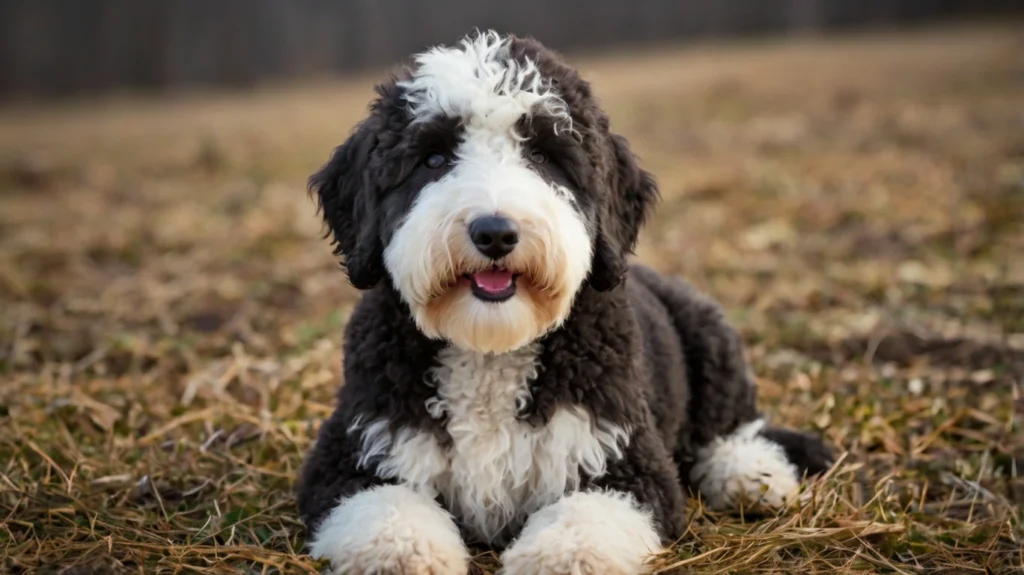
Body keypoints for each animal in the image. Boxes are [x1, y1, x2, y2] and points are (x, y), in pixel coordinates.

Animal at [299, 30, 831, 572]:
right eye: (432, 159)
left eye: (542, 156)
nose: (495, 232)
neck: (489, 352)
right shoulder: (352, 454)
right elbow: (386, 505)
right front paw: (406, 551)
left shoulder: (626, 461)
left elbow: (586, 514)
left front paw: (558, 556)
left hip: (707, 330)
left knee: (732, 427)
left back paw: (751, 474)